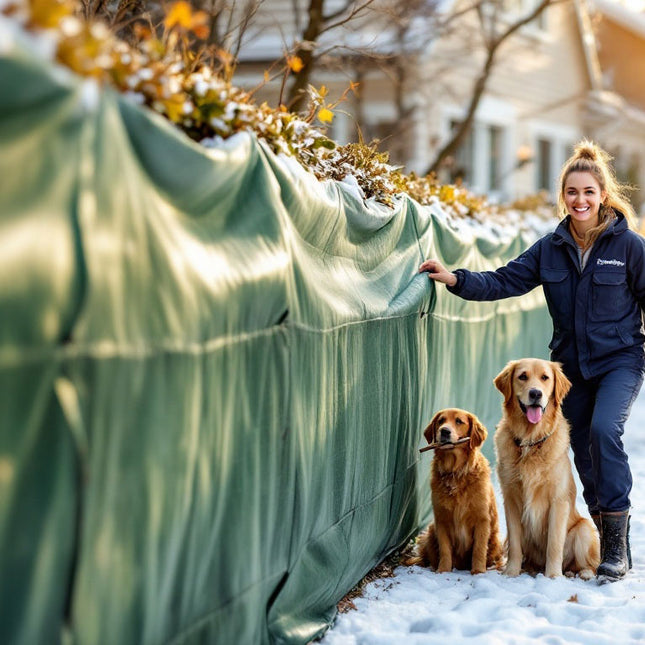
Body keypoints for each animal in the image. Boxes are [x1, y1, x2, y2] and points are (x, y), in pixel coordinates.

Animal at [408, 408, 504, 572]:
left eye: (459, 421)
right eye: (441, 420)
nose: (444, 431)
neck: (455, 472)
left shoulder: (482, 519)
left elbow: (479, 549)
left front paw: (478, 572)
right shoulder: (441, 519)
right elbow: (445, 550)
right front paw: (443, 571)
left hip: (495, 539)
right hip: (431, 530)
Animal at [494, 358, 600, 580]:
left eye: (545, 377)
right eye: (522, 376)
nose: (536, 394)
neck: (531, 441)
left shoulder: (558, 501)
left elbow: (554, 544)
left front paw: (553, 577)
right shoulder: (511, 499)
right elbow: (515, 544)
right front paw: (511, 572)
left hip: (584, 530)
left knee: (588, 562)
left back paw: (582, 572)